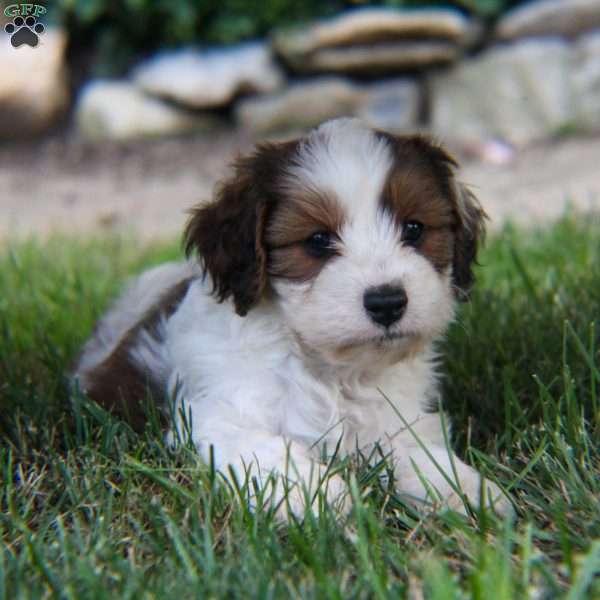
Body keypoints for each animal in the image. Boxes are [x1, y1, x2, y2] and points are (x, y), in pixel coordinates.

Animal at [75, 119, 506, 516]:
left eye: (414, 229)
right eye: (317, 241)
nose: (386, 302)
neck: (329, 369)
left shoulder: (395, 417)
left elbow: (412, 449)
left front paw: (461, 489)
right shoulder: (217, 416)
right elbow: (266, 452)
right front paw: (316, 496)